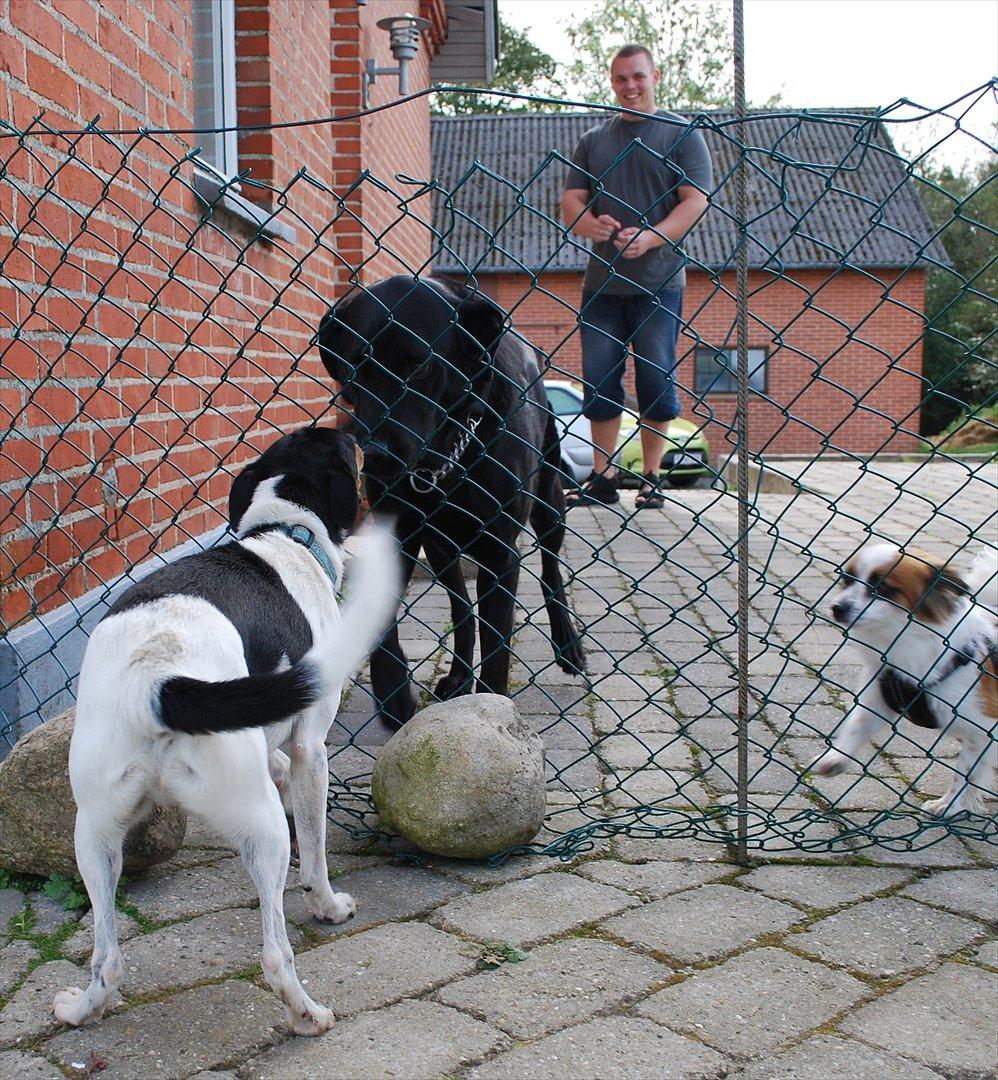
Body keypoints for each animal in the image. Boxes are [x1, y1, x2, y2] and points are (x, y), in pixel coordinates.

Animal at [51, 425, 397, 1032]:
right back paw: (308, 1014)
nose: (370, 440)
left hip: (93, 834)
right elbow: (315, 846)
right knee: (275, 954)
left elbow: (277, 764)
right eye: (349, 445)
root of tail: (159, 684)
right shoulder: (311, 747)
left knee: (107, 958)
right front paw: (329, 905)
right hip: (262, 830)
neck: (285, 533)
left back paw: (81, 1008)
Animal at [317, 272, 583, 725]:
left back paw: (567, 643)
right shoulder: (397, 538)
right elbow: (384, 621)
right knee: (462, 610)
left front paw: (492, 708)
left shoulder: (500, 555)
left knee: (550, 567)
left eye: (421, 366)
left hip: (550, 498)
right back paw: (458, 676)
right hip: (442, 549)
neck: (441, 463)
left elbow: (497, 650)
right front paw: (392, 692)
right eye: (355, 370)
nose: (376, 455)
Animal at [812, 544, 998, 812]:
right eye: (847, 580)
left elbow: (965, 773)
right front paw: (835, 758)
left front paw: (949, 804)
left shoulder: (983, 730)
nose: (837, 607)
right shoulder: (880, 696)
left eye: (882, 587)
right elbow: (856, 725)